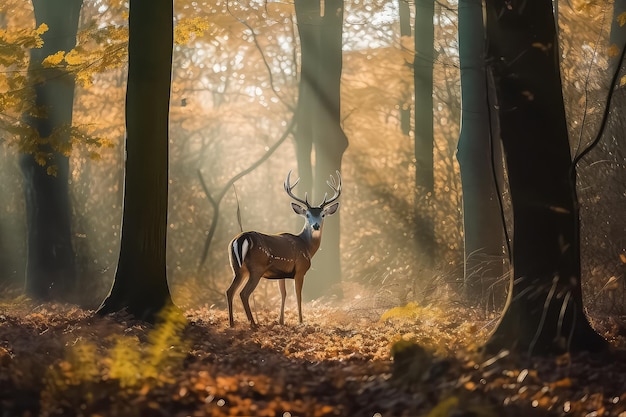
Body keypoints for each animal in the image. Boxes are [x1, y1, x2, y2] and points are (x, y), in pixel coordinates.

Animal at [225, 171, 342, 326]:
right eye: (307, 215)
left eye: (322, 215)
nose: (315, 226)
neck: (307, 247)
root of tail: (240, 239)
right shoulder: (300, 270)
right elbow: (298, 296)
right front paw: (300, 321)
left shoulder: (281, 274)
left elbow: (283, 294)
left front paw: (281, 321)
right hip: (256, 268)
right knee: (243, 293)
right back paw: (253, 324)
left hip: (237, 268)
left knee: (229, 291)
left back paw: (232, 324)